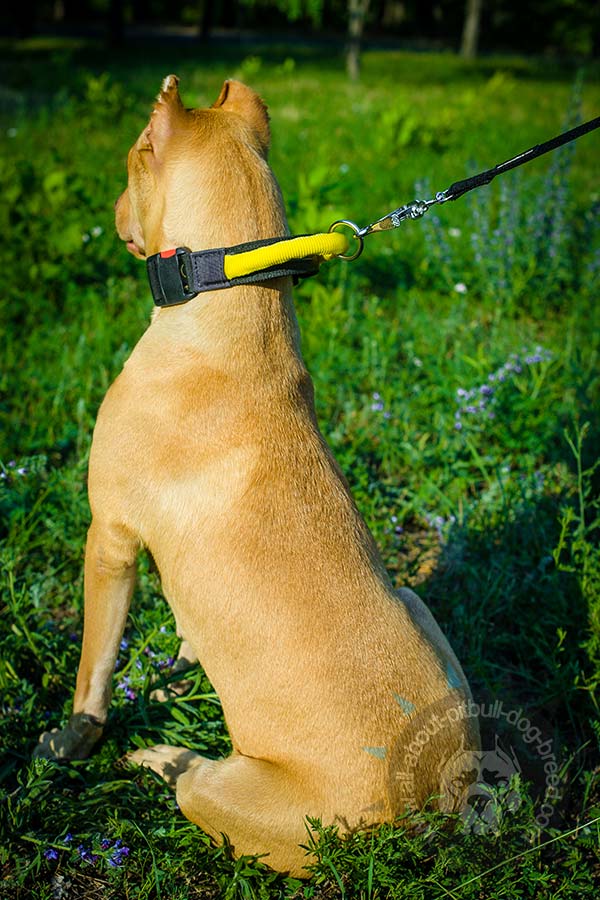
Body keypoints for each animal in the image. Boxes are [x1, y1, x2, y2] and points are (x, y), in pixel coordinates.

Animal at [36, 77, 478, 880]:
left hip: (231, 795)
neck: (228, 309)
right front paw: (179, 663)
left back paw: (159, 754)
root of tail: (424, 811)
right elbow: (184, 632)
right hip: (415, 599)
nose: (110, 212)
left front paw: (72, 739)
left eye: (134, 155)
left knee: (188, 779)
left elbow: (93, 669)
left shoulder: (109, 538)